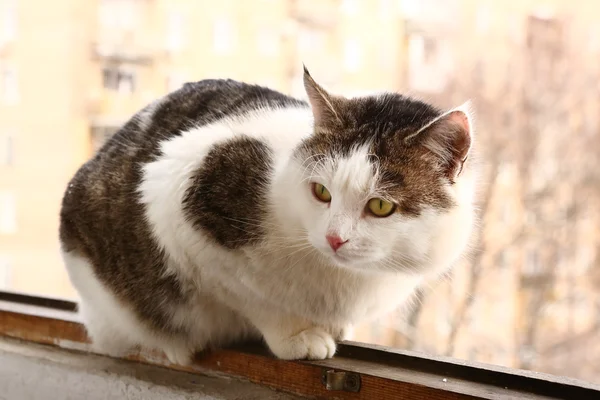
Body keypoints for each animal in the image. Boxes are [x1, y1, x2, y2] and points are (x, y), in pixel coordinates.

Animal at [58, 67, 476, 364]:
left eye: (381, 206)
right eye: (321, 192)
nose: (334, 239)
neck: (345, 279)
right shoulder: (177, 204)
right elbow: (256, 299)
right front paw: (297, 337)